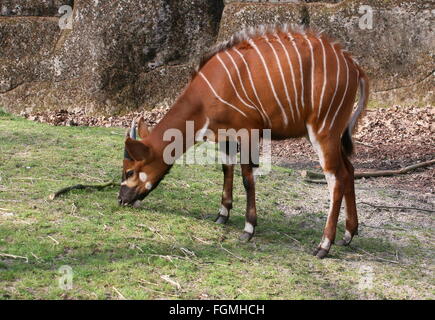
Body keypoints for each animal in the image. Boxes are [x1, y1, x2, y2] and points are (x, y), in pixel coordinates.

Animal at [120, 25, 372, 260]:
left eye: (130, 171)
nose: (121, 199)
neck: (204, 96)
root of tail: (354, 67)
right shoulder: (226, 136)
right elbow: (226, 169)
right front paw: (222, 215)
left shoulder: (248, 132)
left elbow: (247, 178)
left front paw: (248, 229)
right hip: (330, 134)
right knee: (348, 170)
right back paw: (348, 234)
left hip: (323, 130)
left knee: (335, 178)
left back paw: (324, 245)